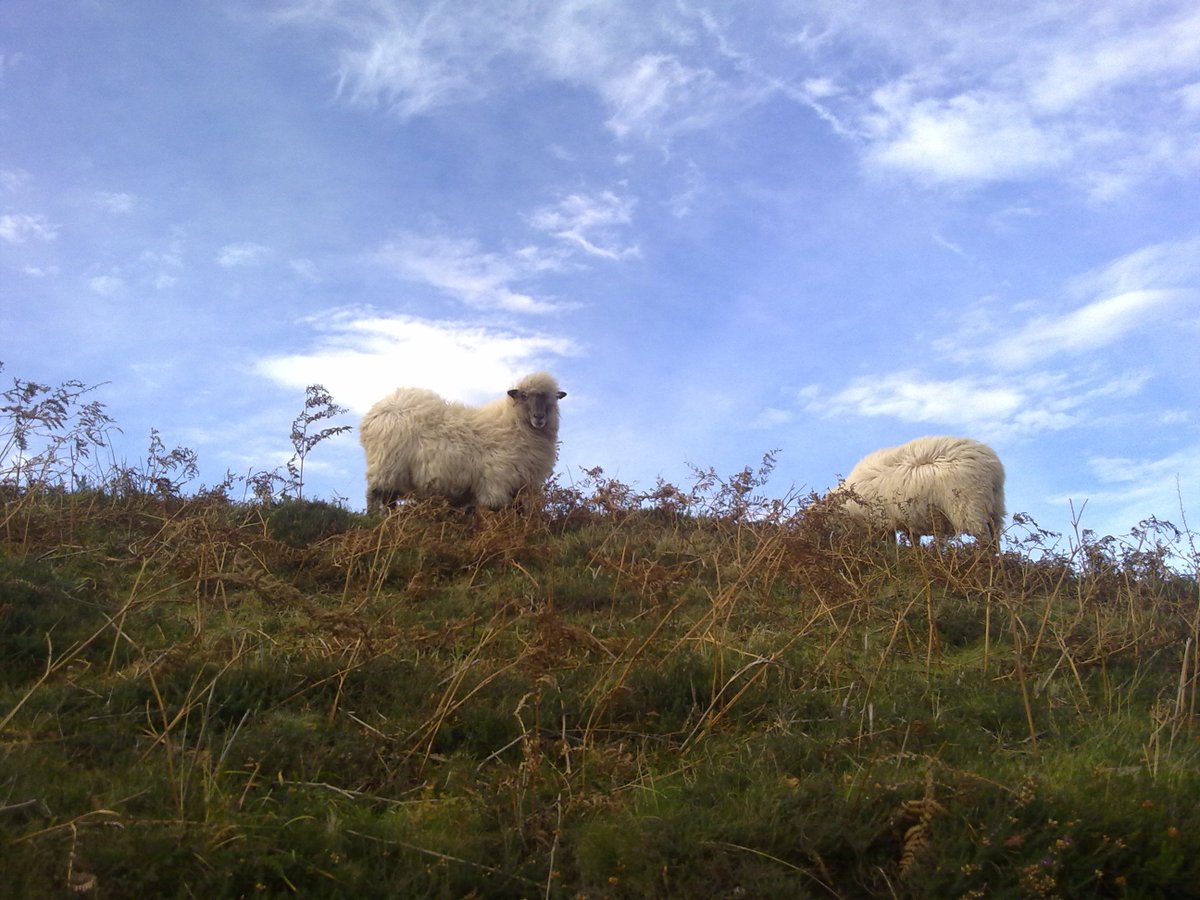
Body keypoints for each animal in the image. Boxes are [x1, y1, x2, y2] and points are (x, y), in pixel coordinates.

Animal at [359, 371, 566, 512]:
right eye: (524, 396)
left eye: (552, 399)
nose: (539, 417)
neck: (512, 423)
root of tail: (374, 412)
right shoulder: (496, 483)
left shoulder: (519, 487)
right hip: (386, 465)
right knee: (374, 494)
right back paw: (374, 519)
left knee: (388, 499)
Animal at [831, 435, 1005, 545]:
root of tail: (993, 465)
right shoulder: (907, 523)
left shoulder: (885, 523)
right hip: (995, 508)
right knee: (995, 538)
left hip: (969, 508)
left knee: (985, 540)